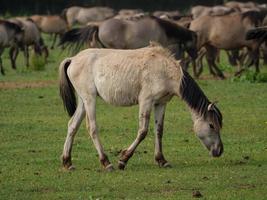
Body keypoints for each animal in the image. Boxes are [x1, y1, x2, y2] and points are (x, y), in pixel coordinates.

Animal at [58, 43, 224, 170]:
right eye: (211, 125)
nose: (220, 150)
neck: (164, 70)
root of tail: (72, 59)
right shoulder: (146, 101)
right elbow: (143, 131)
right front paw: (123, 160)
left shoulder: (160, 103)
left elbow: (159, 131)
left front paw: (162, 160)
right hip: (90, 99)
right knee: (92, 128)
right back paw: (106, 163)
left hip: (83, 101)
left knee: (72, 125)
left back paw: (67, 162)